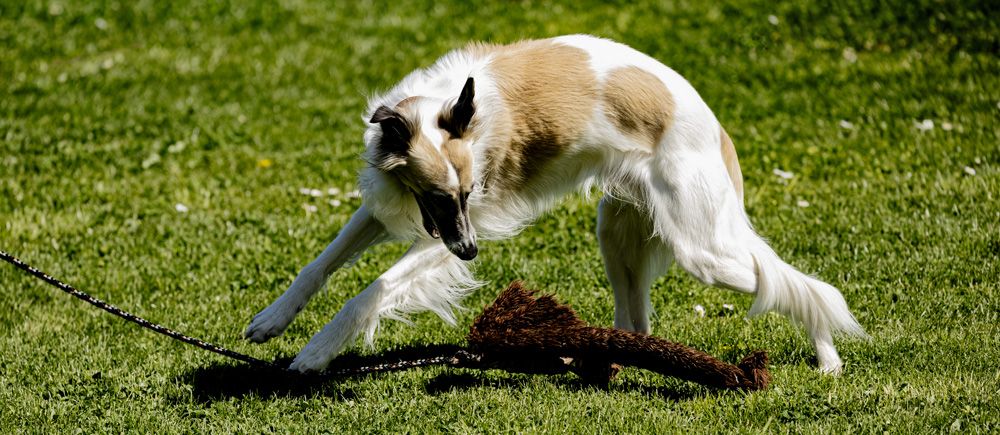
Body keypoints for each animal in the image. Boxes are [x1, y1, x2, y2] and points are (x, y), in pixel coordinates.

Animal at [243, 35, 867, 374]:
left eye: (469, 193)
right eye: (440, 195)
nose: (472, 255)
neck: (442, 105)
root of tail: (712, 123)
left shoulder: (450, 235)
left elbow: (370, 291)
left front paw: (317, 352)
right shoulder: (395, 209)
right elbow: (318, 266)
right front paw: (271, 320)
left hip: (704, 250)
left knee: (787, 281)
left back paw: (827, 354)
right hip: (618, 238)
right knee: (639, 321)